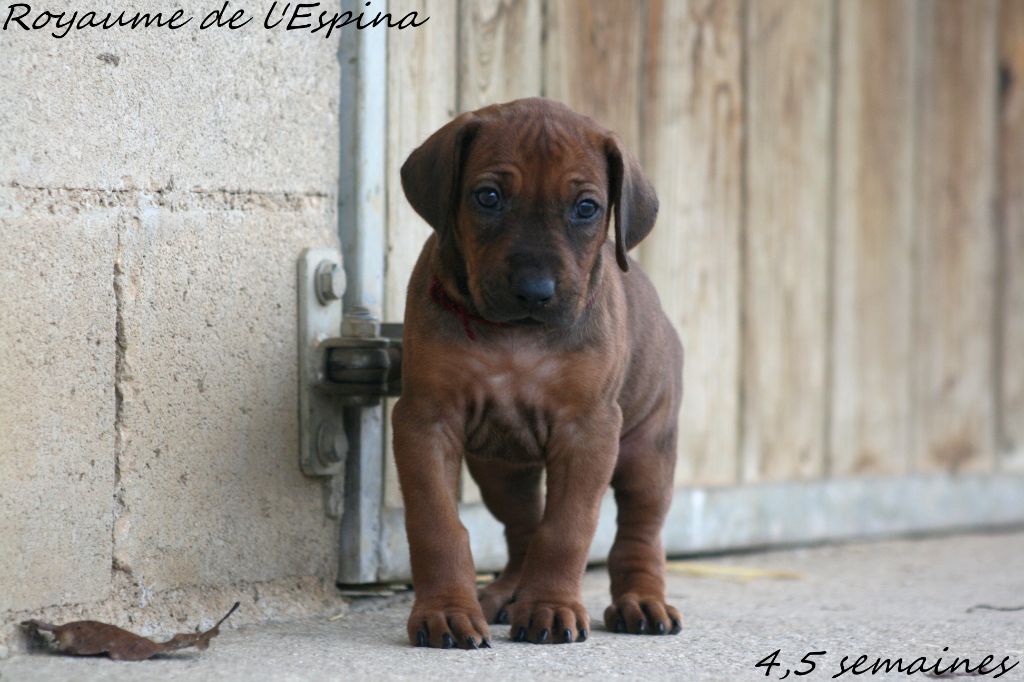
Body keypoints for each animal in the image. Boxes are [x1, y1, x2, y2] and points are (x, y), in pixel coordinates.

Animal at [392, 97, 683, 649]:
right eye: (488, 197)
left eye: (586, 208)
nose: (534, 290)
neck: (516, 338)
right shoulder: (425, 420)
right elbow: (437, 524)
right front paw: (447, 611)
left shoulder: (588, 431)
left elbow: (566, 529)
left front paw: (551, 607)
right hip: (501, 469)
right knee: (522, 528)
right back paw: (508, 594)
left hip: (647, 450)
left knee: (640, 532)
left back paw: (640, 601)